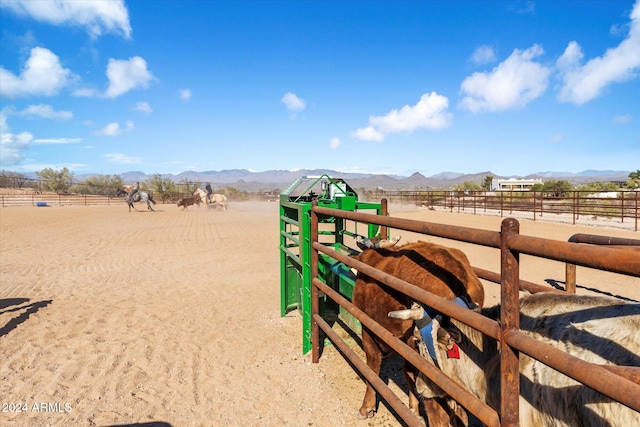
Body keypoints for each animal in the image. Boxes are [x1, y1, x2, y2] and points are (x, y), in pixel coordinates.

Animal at [350, 242, 484, 426]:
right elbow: (408, 374)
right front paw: (413, 409)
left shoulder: (368, 328)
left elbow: (372, 366)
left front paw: (366, 407)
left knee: (437, 412)